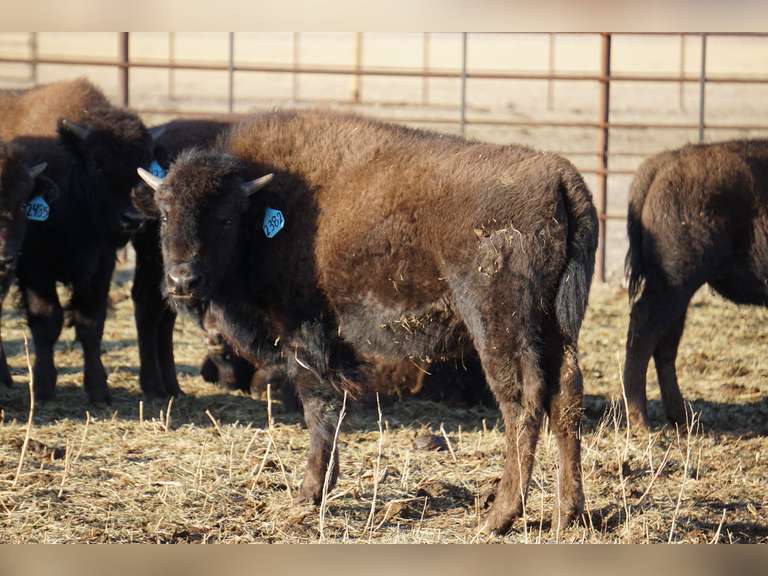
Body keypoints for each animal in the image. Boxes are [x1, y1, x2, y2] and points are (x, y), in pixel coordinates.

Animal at [3, 80, 154, 403]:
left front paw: (99, 391)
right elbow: (47, 321)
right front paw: (44, 387)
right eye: (97, 163)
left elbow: (90, 323)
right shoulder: (34, 268)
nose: (133, 219)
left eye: (143, 164)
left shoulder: (100, 268)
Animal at [138, 109, 598, 534]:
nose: (182, 281)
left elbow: (318, 409)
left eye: (226, 217)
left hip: (498, 326)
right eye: (165, 214)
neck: (268, 210)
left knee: (521, 403)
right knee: (565, 397)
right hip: (555, 328)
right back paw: (567, 514)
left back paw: (497, 518)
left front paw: (309, 493)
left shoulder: (304, 337)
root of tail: (560, 177)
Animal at [624, 139, 768, 429]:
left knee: (665, 343)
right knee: (644, 330)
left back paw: (681, 419)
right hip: (675, 284)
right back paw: (641, 421)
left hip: (677, 294)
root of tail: (661, 165)